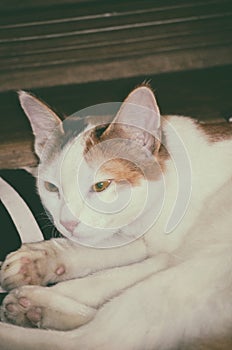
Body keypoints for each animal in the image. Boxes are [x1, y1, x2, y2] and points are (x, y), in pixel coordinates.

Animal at [0, 85, 232, 350]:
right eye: (51, 187)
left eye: (101, 185)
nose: (67, 223)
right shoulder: (153, 246)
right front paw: (42, 258)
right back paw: (35, 307)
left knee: (91, 340)